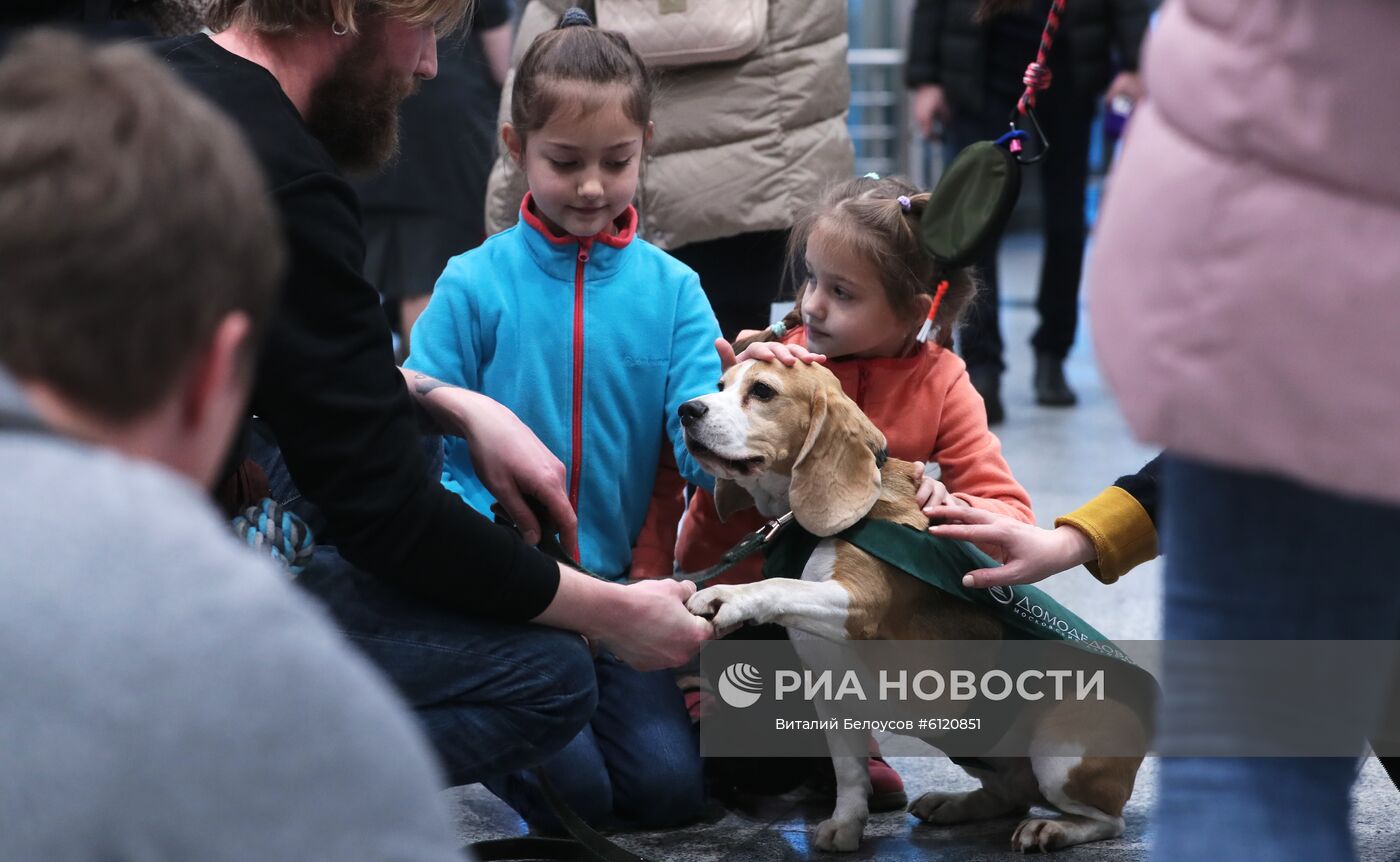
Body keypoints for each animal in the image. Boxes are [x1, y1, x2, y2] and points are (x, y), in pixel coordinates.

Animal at [677, 361, 1148, 850]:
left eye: (763, 391)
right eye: (721, 385)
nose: (686, 411)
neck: (805, 527)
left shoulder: (859, 604)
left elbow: (781, 585)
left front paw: (726, 596)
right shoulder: (832, 698)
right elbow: (849, 773)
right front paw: (846, 825)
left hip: (1059, 751)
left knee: (1105, 819)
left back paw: (1052, 827)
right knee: (1012, 796)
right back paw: (957, 804)